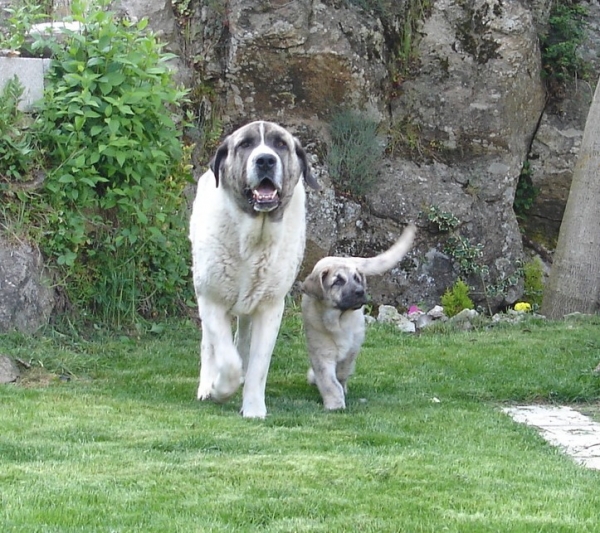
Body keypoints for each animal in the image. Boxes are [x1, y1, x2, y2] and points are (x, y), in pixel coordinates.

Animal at [189, 120, 318, 416]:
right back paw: (207, 385)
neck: (254, 240)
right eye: (245, 144)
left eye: (280, 144)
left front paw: (254, 408)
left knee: (243, 340)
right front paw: (219, 389)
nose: (265, 160)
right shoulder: (212, 301)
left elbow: (259, 363)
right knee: (210, 345)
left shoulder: (270, 308)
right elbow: (227, 360)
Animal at [302, 222, 414, 410]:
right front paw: (335, 404)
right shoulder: (320, 351)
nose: (361, 292)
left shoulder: (351, 349)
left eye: (356, 278)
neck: (338, 321)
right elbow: (329, 381)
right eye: (338, 281)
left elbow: (341, 373)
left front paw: (340, 392)